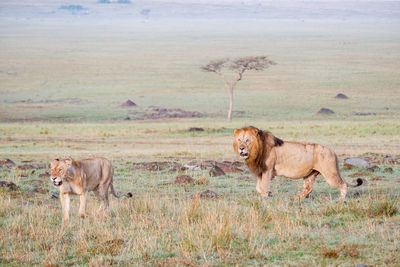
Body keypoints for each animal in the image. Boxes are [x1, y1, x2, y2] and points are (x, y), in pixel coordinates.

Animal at [234, 127, 362, 201]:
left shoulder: (267, 170)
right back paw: (297, 198)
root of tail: (333, 151)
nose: (241, 149)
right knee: (308, 189)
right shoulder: (261, 171)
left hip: (330, 174)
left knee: (343, 185)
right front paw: (268, 194)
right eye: (239, 140)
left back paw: (340, 199)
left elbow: (263, 186)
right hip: (310, 174)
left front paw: (266, 197)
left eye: (247, 140)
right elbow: (258, 188)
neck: (256, 150)